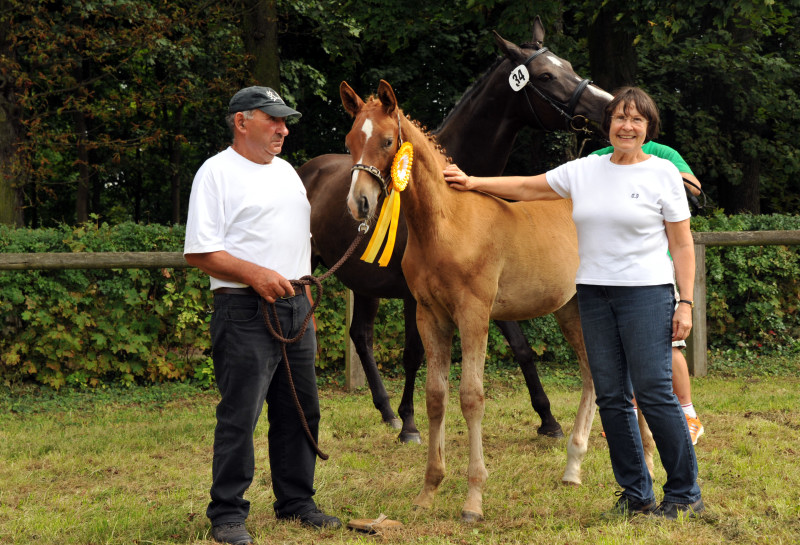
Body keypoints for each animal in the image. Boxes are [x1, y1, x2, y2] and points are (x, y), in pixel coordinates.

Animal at [300, 18, 612, 442]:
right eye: (547, 76)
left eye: (568, 65)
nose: (605, 104)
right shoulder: (415, 293)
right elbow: (414, 354)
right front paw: (411, 425)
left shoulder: (489, 286)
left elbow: (521, 347)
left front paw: (547, 419)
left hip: (364, 281)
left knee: (360, 336)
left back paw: (386, 411)